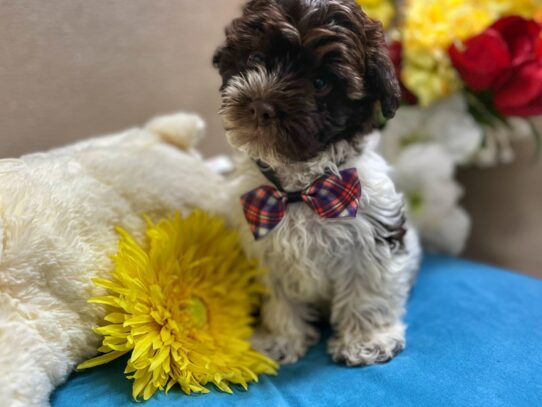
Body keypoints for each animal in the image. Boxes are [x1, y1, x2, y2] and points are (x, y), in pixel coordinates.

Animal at [215, 0, 422, 366]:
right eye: (257, 58)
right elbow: (279, 298)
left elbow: (368, 291)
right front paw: (281, 338)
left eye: (321, 82)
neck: (299, 191)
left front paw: (367, 342)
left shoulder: (373, 236)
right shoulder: (266, 249)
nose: (261, 106)